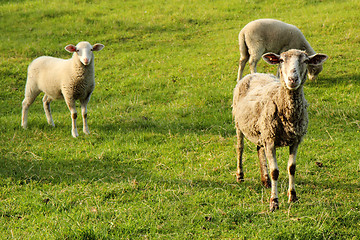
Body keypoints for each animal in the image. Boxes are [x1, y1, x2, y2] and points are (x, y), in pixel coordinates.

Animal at [232, 49, 328, 211]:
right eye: (281, 60)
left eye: (305, 61)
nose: (292, 79)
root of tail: (255, 74)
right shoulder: (270, 140)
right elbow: (275, 172)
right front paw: (274, 202)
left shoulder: (295, 140)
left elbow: (291, 168)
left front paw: (293, 196)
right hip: (239, 124)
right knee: (240, 148)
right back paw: (240, 175)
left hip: (261, 130)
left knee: (259, 149)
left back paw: (265, 180)